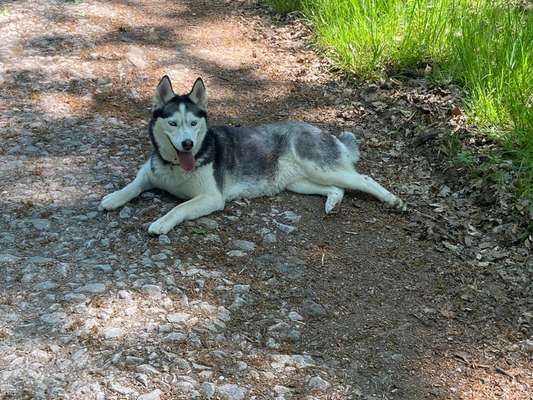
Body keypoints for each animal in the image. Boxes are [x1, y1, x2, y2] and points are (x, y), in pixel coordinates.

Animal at [100, 76, 406, 234]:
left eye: (194, 123)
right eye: (173, 123)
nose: (187, 144)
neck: (176, 166)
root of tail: (323, 130)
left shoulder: (212, 197)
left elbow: (179, 207)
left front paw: (162, 222)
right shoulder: (150, 170)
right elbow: (133, 184)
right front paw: (114, 197)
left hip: (320, 166)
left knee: (364, 179)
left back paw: (394, 201)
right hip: (300, 182)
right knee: (336, 188)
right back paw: (332, 203)